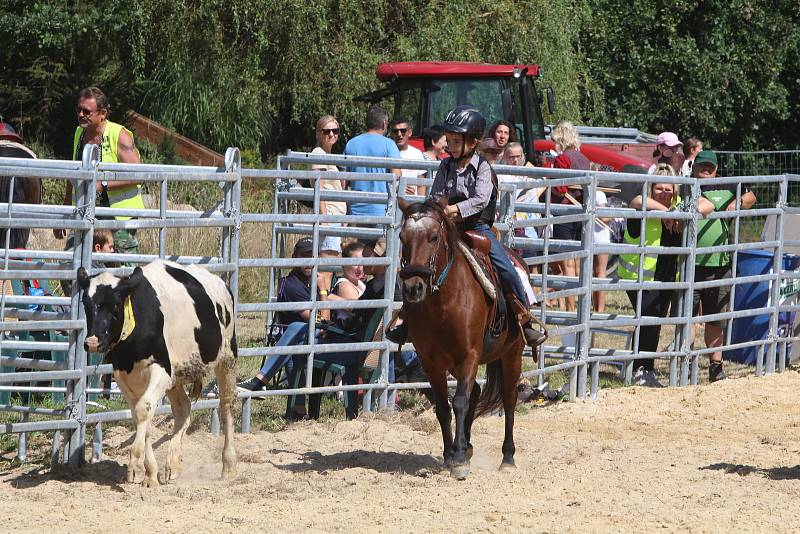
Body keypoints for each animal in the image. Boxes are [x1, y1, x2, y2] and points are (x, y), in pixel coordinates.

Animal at [78, 262, 238, 488]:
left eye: (116, 305)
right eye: (86, 303)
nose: (92, 342)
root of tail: (220, 283)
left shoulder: (161, 370)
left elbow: (143, 409)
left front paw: (135, 466)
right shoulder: (124, 376)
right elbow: (141, 417)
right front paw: (150, 473)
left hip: (227, 358)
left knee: (227, 406)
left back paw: (229, 465)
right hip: (177, 376)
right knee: (183, 409)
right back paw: (172, 465)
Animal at [396, 197, 520, 482]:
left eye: (433, 237)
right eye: (402, 237)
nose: (413, 287)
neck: (444, 303)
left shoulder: (469, 355)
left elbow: (460, 402)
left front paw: (459, 460)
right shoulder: (430, 361)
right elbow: (443, 407)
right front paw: (450, 455)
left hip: (512, 353)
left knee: (508, 399)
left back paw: (507, 457)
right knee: (476, 392)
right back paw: (467, 445)